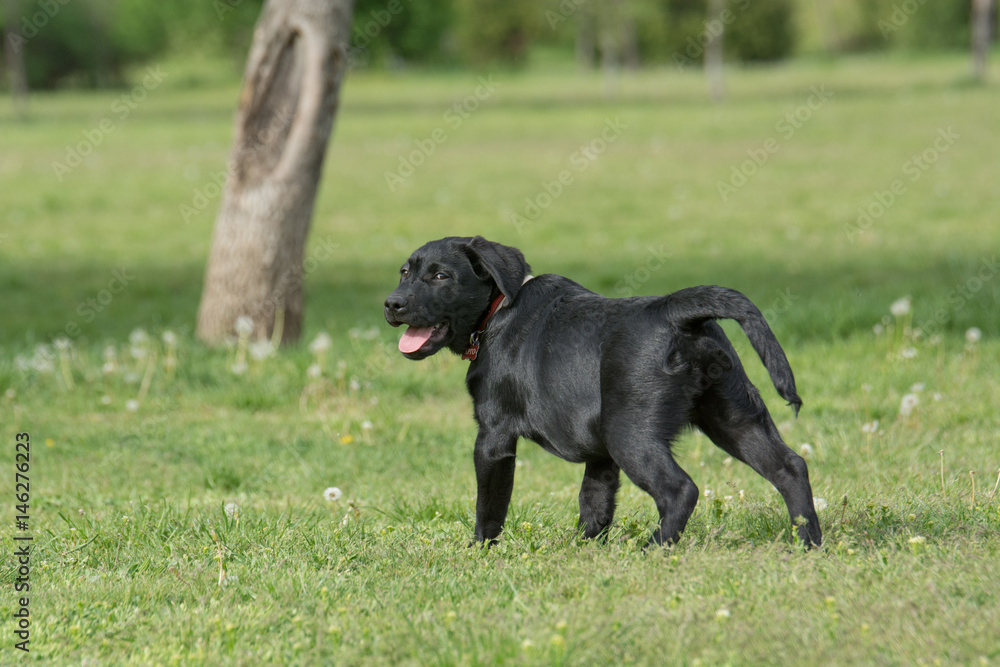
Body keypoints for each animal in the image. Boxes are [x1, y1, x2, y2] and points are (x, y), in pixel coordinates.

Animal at [384, 236, 822, 548]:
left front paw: (479, 552)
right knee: (790, 467)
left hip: (632, 433)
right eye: (404, 271)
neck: (495, 313)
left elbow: (489, 509)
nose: (392, 304)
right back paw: (808, 543)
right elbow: (594, 503)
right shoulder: (599, 451)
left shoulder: (493, 438)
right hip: (733, 416)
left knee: (680, 490)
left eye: (441, 276)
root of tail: (675, 312)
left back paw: (653, 548)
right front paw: (584, 549)